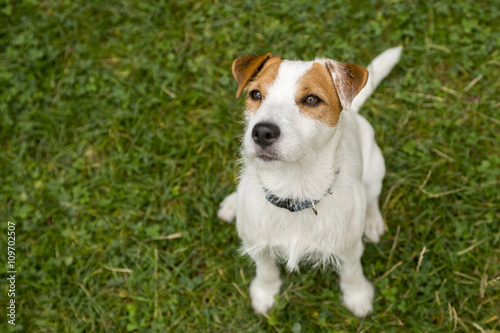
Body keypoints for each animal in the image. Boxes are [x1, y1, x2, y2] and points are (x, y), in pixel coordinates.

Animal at [218, 45, 402, 316]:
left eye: (311, 100)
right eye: (255, 94)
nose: (262, 132)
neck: (294, 189)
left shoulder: (348, 248)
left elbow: (352, 272)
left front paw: (357, 296)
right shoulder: (258, 244)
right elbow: (265, 268)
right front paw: (265, 293)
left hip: (375, 169)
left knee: (372, 197)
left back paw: (372, 222)